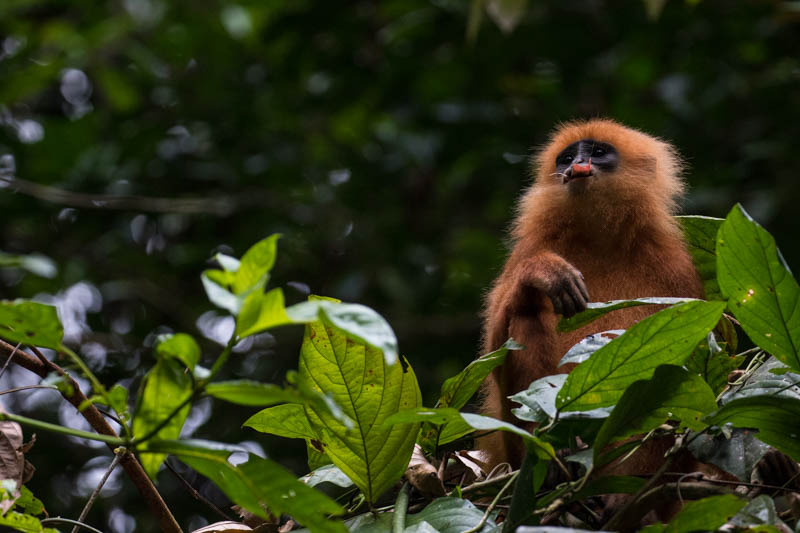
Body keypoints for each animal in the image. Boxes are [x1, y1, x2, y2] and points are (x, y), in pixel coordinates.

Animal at [478, 119, 704, 466]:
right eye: (566, 157)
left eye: (597, 153)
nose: (577, 164)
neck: (598, 238)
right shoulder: (531, 246)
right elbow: (492, 358)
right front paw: (544, 273)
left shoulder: (674, 265)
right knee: (525, 314)